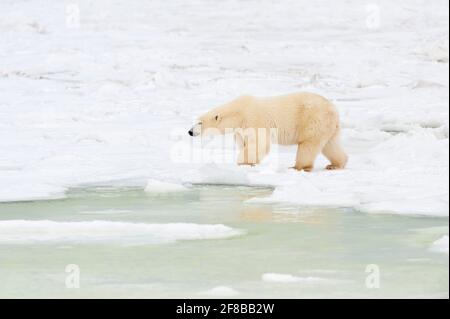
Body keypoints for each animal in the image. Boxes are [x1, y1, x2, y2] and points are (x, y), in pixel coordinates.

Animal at [189, 92, 348, 172]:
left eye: (200, 122)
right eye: (196, 120)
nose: (190, 131)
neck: (238, 114)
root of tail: (333, 108)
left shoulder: (254, 120)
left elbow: (258, 143)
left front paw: (243, 162)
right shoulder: (240, 130)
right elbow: (244, 142)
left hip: (313, 120)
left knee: (308, 144)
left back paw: (297, 166)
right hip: (328, 125)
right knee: (330, 144)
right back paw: (335, 164)